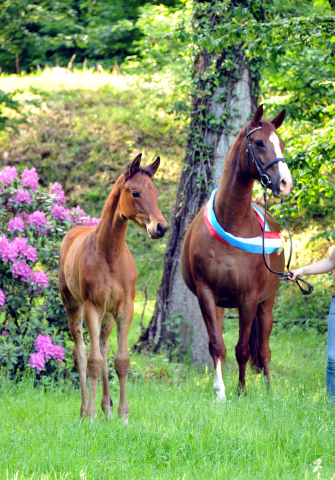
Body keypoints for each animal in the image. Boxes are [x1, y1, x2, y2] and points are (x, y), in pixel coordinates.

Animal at [59, 155, 168, 420]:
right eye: (135, 192)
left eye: (156, 193)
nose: (161, 227)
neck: (110, 255)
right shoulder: (92, 307)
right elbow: (93, 361)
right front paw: (90, 415)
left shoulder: (124, 307)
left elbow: (121, 360)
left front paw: (122, 414)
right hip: (73, 305)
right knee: (81, 353)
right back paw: (85, 409)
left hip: (108, 315)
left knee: (104, 347)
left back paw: (107, 408)